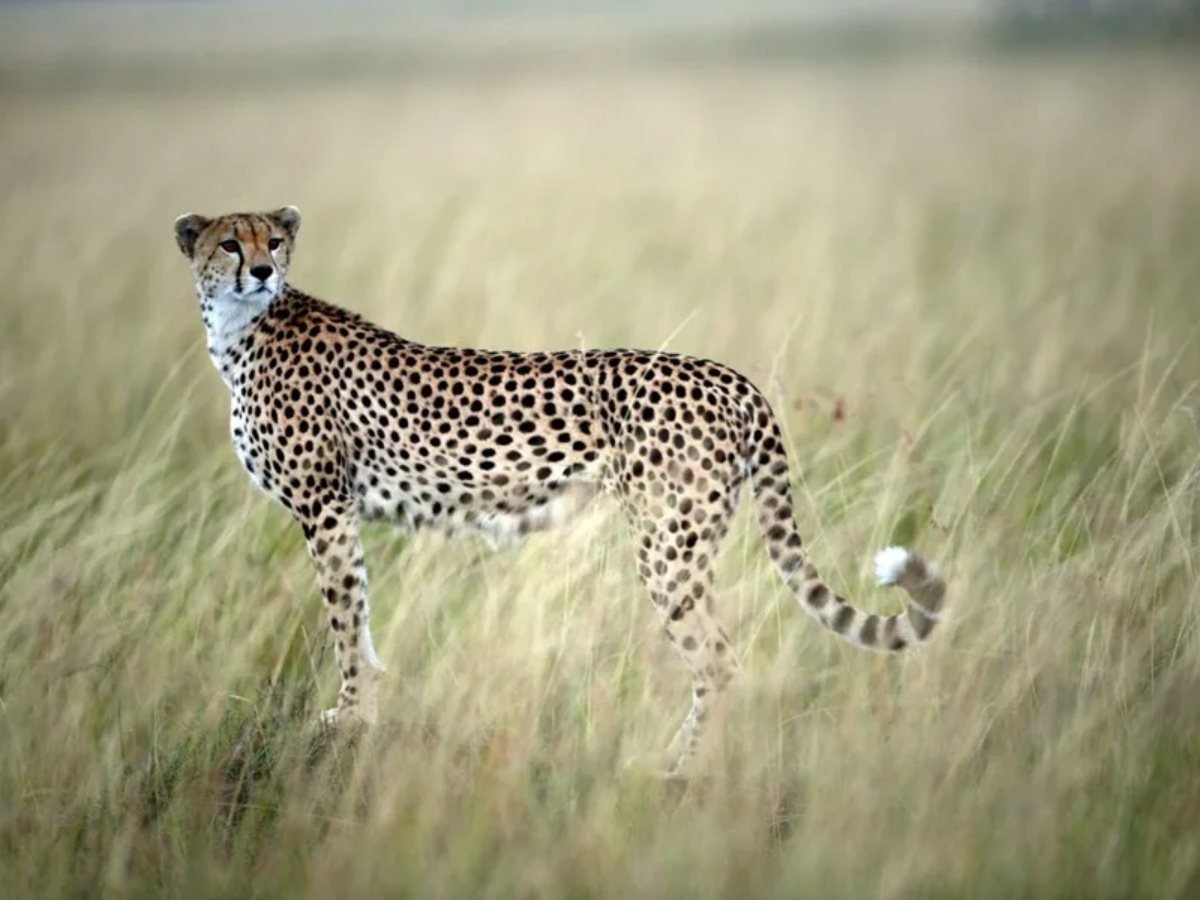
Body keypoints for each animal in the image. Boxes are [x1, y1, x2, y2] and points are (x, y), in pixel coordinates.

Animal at [173, 206, 947, 778]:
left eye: (273, 240)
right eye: (229, 243)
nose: (262, 270)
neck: (242, 331)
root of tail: (729, 376)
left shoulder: (324, 507)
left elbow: (343, 617)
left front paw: (352, 716)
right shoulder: (336, 512)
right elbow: (357, 616)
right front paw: (362, 709)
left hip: (668, 546)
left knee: (721, 663)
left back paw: (681, 768)